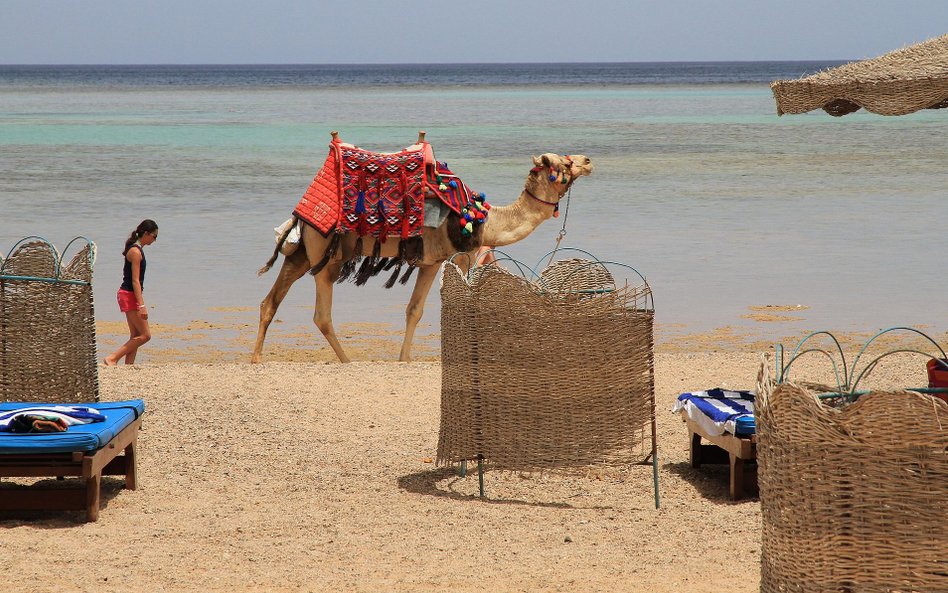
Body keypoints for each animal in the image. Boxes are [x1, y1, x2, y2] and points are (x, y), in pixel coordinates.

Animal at [252, 131, 592, 360]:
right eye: (560, 163)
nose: (588, 160)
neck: (482, 218)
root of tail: (300, 214)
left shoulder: (440, 260)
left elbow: (422, 308)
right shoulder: (453, 256)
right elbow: (446, 304)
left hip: (304, 252)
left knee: (271, 301)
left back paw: (256, 359)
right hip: (327, 254)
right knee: (322, 315)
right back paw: (348, 361)